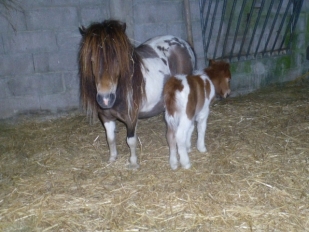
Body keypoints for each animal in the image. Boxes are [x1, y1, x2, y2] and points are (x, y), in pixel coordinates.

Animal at [79, 20, 195, 168]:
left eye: (118, 59)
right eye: (92, 60)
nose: (105, 99)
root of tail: (183, 43)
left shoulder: (131, 117)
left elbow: (131, 141)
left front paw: (133, 163)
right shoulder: (105, 117)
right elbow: (110, 138)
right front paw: (112, 158)